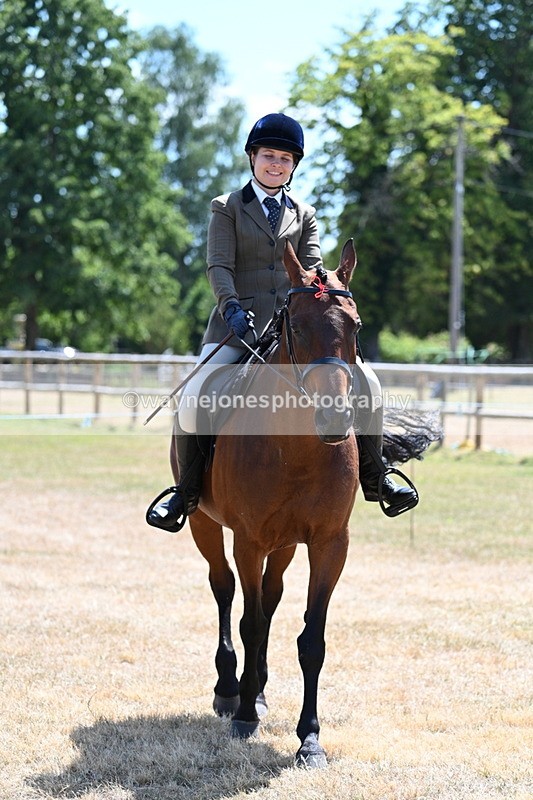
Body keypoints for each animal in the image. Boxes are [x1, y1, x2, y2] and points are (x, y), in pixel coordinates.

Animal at [171, 239, 361, 768]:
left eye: (356, 327)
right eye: (296, 326)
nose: (334, 419)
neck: (298, 447)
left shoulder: (329, 544)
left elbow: (311, 639)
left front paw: (309, 739)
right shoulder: (249, 540)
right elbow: (250, 622)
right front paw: (243, 718)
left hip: (286, 544)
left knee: (271, 597)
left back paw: (255, 689)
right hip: (205, 525)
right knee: (224, 590)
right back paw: (230, 689)